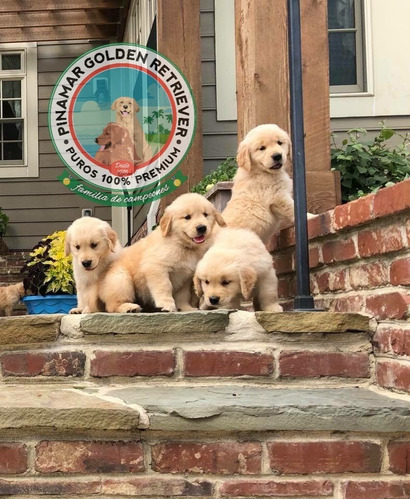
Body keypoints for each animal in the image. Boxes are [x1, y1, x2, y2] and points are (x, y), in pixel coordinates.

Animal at [99, 192, 227, 312]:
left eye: (205, 214)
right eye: (187, 217)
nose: (202, 228)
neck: (180, 244)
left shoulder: (185, 277)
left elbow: (183, 295)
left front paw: (186, 308)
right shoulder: (157, 268)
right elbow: (165, 287)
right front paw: (167, 306)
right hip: (121, 280)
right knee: (111, 306)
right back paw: (128, 307)